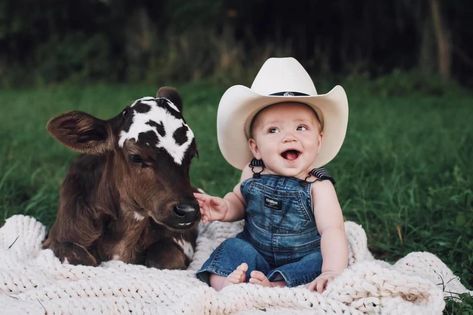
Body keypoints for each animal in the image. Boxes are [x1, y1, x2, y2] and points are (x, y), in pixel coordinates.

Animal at [42, 87, 199, 270]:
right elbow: (79, 257)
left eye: (192, 154)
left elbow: (164, 257)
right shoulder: (55, 241)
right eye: (136, 157)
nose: (188, 210)